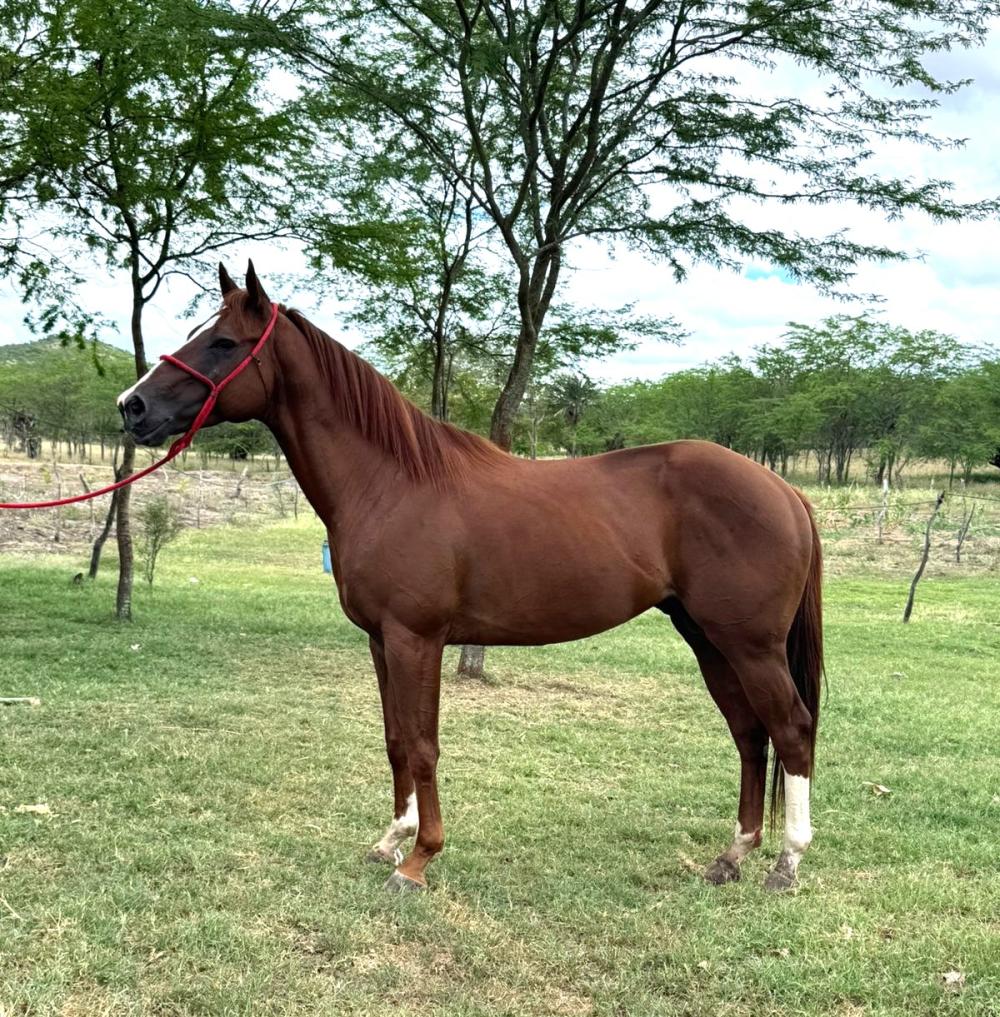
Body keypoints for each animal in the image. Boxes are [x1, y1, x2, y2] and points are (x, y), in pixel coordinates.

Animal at [118, 261, 824, 894]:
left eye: (223, 343)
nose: (132, 406)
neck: (391, 484)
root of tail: (784, 490)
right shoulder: (381, 641)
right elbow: (396, 740)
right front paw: (390, 839)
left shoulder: (417, 639)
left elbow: (423, 745)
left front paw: (418, 861)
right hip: (708, 639)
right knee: (749, 733)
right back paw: (732, 856)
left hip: (749, 644)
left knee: (790, 729)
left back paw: (786, 864)